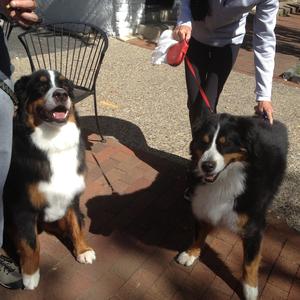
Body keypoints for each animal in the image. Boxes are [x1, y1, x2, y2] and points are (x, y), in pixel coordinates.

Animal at [3, 69, 96, 290]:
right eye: (41, 86)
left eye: (65, 85)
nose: (61, 94)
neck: (54, 142)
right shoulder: (23, 208)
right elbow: (30, 245)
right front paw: (30, 275)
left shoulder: (72, 198)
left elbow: (76, 225)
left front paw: (83, 250)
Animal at [176, 112, 288, 300]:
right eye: (204, 142)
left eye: (226, 143)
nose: (207, 166)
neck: (224, 180)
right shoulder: (202, 205)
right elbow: (199, 234)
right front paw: (191, 253)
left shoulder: (253, 227)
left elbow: (250, 263)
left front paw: (250, 289)